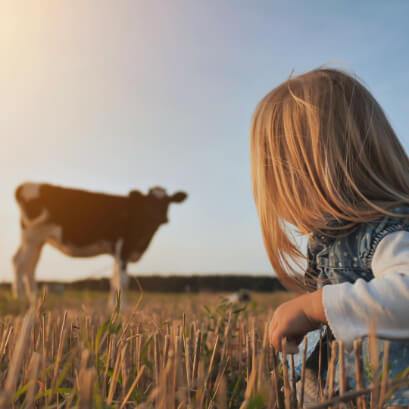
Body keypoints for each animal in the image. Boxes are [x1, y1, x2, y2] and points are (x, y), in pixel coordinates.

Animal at [12, 182, 188, 302]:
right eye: (149, 201)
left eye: (168, 201)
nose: (162, 218)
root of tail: (25, 185)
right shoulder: (123, 248)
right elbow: (123, 281)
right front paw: (122, 310)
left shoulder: (117, 252)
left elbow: (114, 281)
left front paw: (113, 309)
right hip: (32, 237)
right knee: (21, 264)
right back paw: (21, 299)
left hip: (37, 241)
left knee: (27, 265)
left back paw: (33, 298)